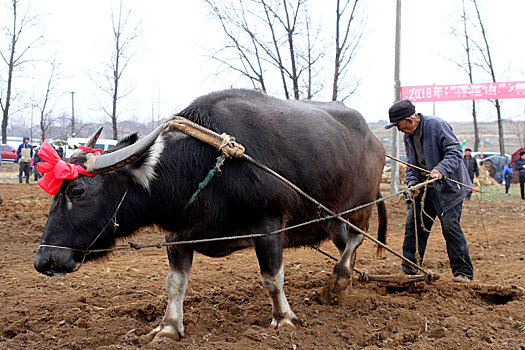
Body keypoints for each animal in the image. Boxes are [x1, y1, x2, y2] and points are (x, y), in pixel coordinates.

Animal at [32, 88, 384, 342]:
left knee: (355, 240)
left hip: (358, 207)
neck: (202, 165)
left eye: (78, 192)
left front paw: (283, 319)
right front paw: (168, 327)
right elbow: (174, 283)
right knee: (345, 245)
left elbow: (272, 278)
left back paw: (338, 282)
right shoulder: (178, 235)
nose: (45, 260)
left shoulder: (268, 226)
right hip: (331, 219)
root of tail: (376, 141)